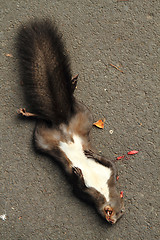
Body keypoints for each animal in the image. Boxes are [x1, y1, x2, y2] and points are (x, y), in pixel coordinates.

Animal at [16, 19, 124, 224]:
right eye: (119, 211)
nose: (112, 220)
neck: (104, 192)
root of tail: (62, 122)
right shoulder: (106, 178)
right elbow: (109, 164)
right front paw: (88, 159)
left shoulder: (91, 190)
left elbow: (79, 186)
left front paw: (79, 171)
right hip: (83, 115)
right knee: (67, 104)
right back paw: (71, 85)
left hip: (44, 137)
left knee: (43, 120)